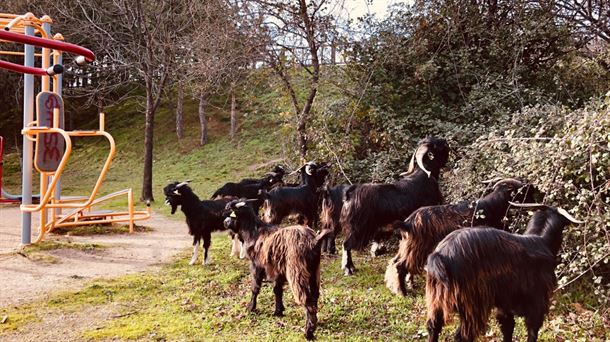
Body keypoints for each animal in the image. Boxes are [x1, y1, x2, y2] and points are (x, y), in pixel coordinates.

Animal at [222, 199, 330, 340]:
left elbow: (255, 288)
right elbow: (277, 290)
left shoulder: (257, 265)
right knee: (315, 296)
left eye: (231, 212)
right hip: (314, 271)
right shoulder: (278, 269)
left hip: (296, 271)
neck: (254, 232)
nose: (225, 222)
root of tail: (314, 241)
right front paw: (278, 311)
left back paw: (308, 332)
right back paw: (315, 323)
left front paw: (251, 308)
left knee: (307, 300)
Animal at [340, 137, 448, 276]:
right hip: (357, 228)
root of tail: (350, 193)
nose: (446, 142)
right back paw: (349, 269)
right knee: (346, 245)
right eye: (437, 146)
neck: (425, 175)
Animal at [384, 178, 536, 296]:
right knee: (400, 266)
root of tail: (406, 224)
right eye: (521, 190)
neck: (489, 207)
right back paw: (403, 292)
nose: (532, 188)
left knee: (395, 262)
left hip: (407, 248)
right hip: (417, 248)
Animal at [420, 203, 580, 342]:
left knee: (433, 327)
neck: (540, 242)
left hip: (436, 302)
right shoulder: (537, 303)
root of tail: (441, 255)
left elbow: (508, 328)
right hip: (473, 307)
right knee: (462, 336)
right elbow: (532, 331)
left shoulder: (504, 306)